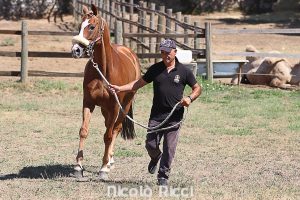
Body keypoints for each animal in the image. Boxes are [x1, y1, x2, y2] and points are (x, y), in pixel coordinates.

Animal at [71, 3, 141, 180]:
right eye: (79, 26)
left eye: (91, 26)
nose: (75, 50)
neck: (103, 70)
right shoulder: (88, 102)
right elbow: (83, 131)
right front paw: (78, 166)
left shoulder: (115, 106)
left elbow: (108, 135)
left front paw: (103, 168)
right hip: (105, 109)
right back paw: (110, 159)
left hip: (124, 105)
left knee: (116, 128)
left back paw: (108, 162)